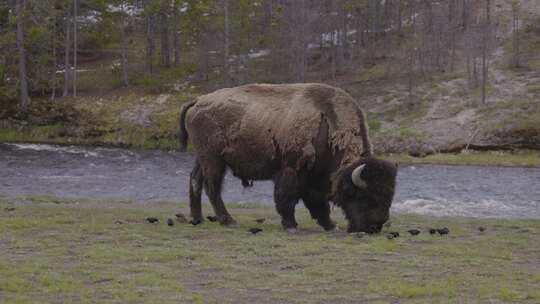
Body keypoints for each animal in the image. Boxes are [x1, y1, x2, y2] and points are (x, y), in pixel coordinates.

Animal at [179, 83, 394, 233]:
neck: (329, 125)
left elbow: (317, 202)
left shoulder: (315, 177)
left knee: (194, 180)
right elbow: (289, 198)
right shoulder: (293, 170)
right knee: (212, 187)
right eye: (365, 197)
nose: (374, 227)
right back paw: (229, 221)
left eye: (388, 196)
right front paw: (291, 225)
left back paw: (197, 219)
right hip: (213, 159)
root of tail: (198, 101)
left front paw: (330, 225)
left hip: (202, 158)